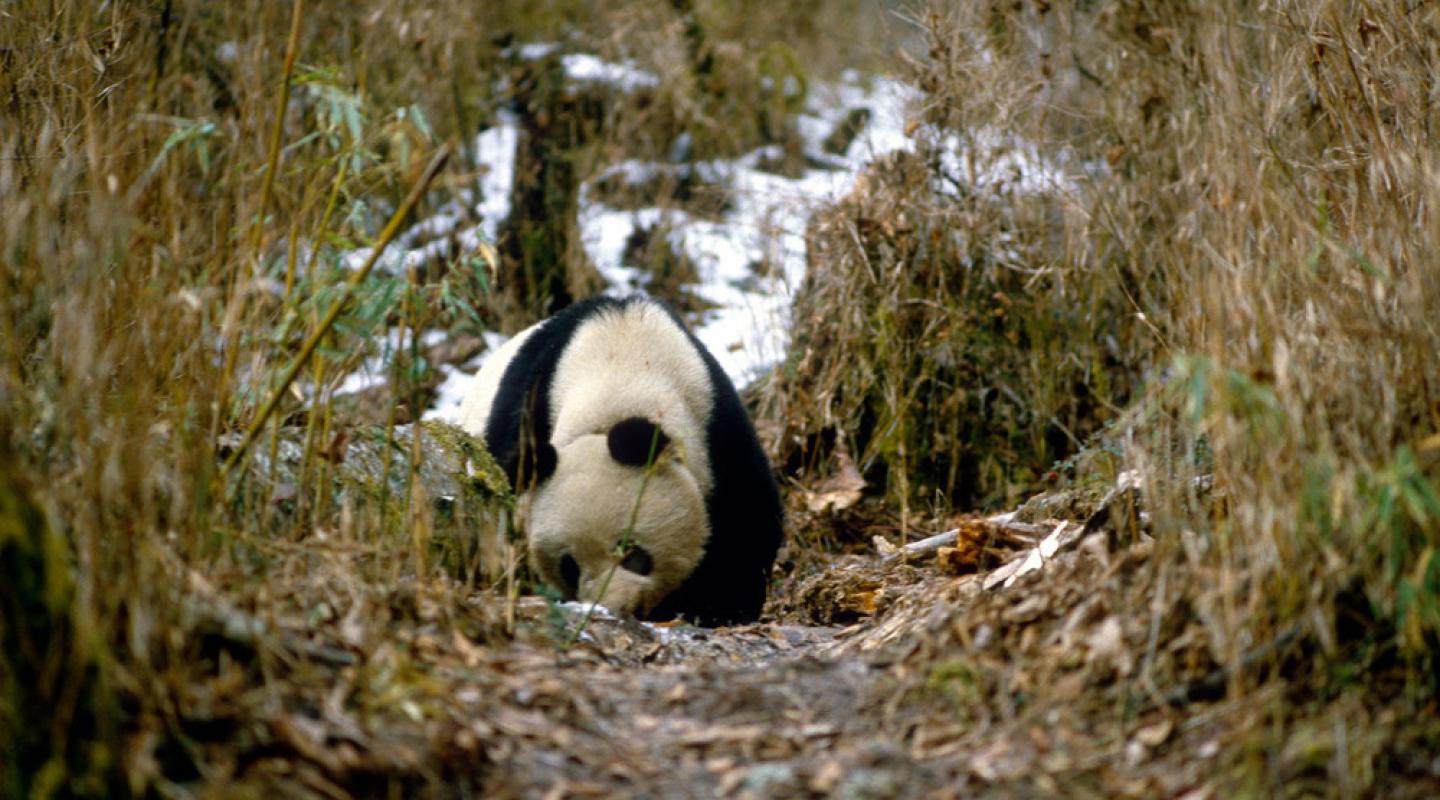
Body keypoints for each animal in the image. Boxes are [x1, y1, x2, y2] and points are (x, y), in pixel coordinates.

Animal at [457, 295, 783, 626]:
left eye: (631, 551)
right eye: (569, 566)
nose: (612, 607)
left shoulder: (716, 424)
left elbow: (746, 519)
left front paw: (719, 608)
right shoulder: (529, 408)